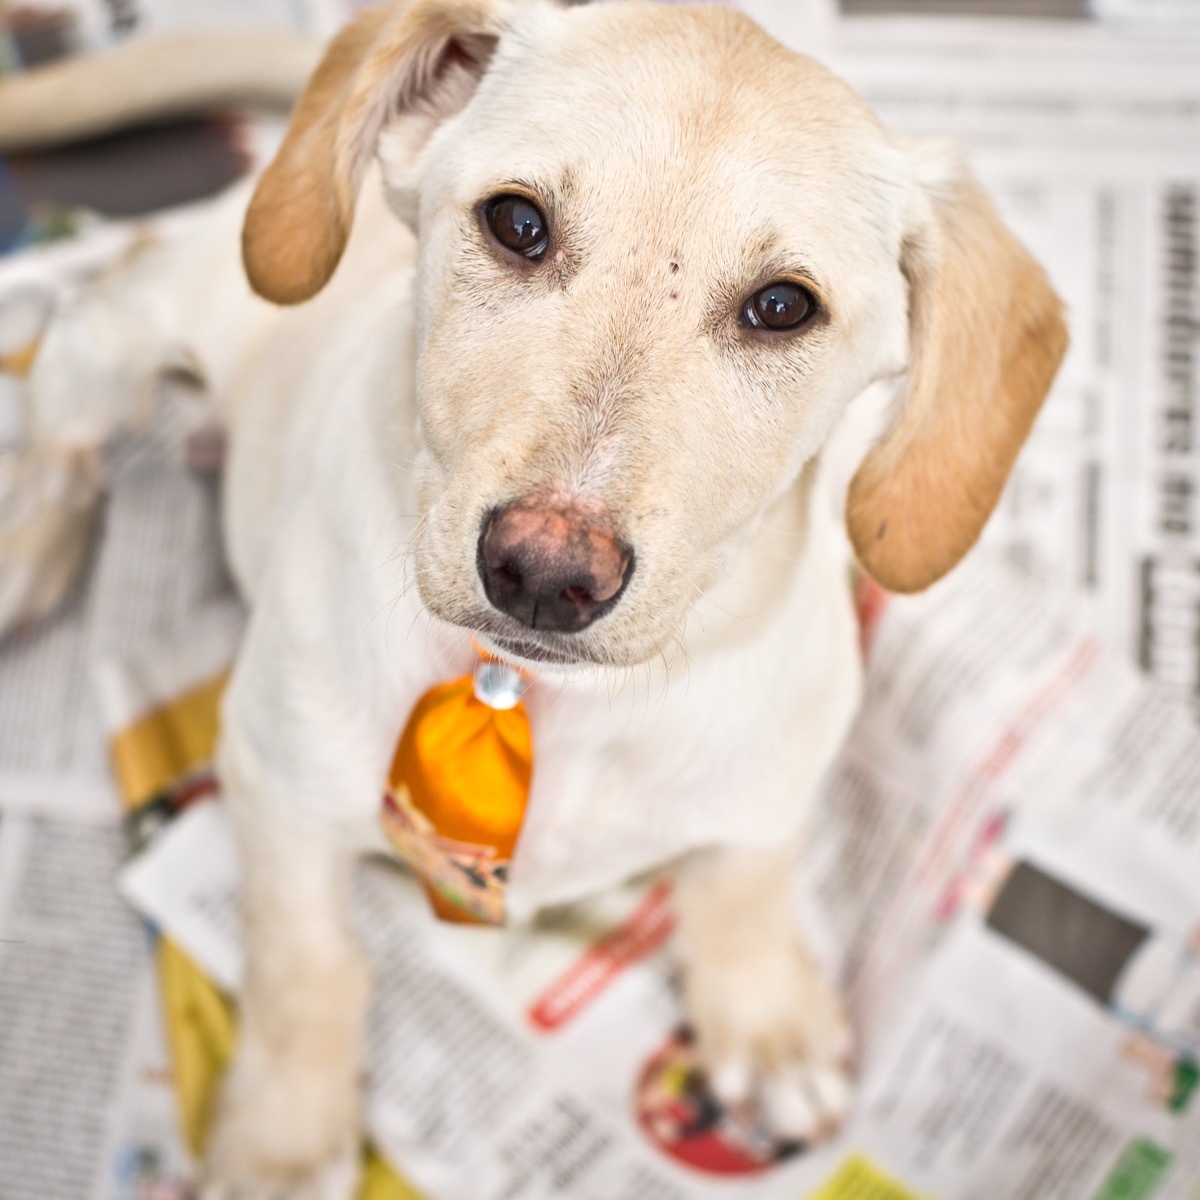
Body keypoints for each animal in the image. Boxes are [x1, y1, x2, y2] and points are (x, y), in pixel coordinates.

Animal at [2, 4, 1070, 1195]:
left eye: (783, 307)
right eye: (517, 223)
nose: (547, 574)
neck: (526, 696)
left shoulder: (780, 767)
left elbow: (745, 877)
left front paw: (767, 1021)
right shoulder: (272, 779)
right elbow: (304, 961)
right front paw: (283, 1136)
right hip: (140, 326)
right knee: (74, 387)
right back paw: (29, 545)